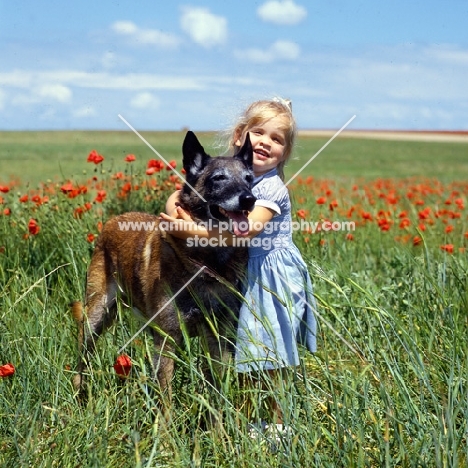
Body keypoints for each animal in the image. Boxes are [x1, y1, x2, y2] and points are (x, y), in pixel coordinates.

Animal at [73, 130, 256, 400]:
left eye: (249, 179)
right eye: (219, 178)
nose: (249, 199)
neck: (207, 261)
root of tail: (114, 220)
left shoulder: (219, 338)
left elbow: (218, 391)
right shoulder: (167, 340)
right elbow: (165, 398)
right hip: (95, 318)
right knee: (81, 361)